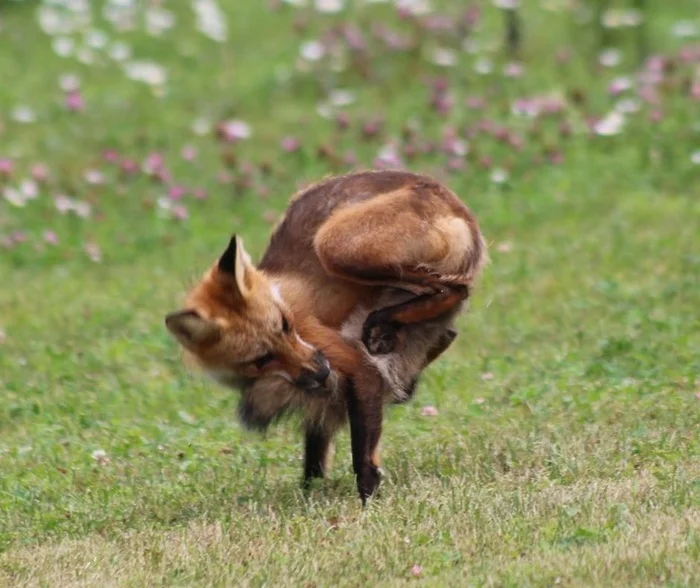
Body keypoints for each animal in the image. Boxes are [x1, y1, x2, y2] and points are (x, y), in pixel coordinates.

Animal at [164, 170, 486, 506]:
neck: (280, 294)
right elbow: (315, 449)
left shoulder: (352, 364)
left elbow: (361, 455)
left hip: (334, 245)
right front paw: (311, 491)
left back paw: (384, 322)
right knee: (448, 307)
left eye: (286, 326)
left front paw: (367, 503)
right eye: (261, 359)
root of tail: (453, 201)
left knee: (452, 288)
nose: (320, 370)